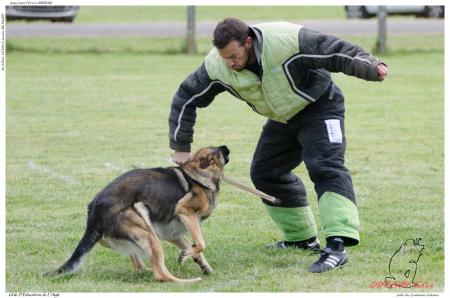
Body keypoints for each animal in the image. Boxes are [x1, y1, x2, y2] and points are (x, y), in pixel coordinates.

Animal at [51, 146, 230, 282]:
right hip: (145, 226)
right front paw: (188, 255)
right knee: (161, 274)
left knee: (141, 267)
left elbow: (195, 249)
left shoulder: (172, 233)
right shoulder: (185, 212)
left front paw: (199, 263)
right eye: (218, 151)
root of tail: (93, 218)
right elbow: (201, 243)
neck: (198, 173)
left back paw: (147, 271)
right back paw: (188, 281)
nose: (226, 147)